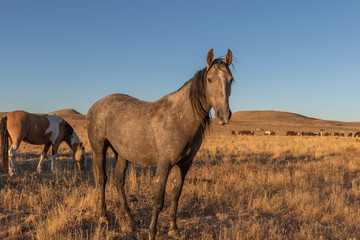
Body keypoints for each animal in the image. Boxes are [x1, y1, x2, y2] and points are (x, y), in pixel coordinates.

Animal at [86, 48, 233, 238]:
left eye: (231, 80)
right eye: (210, 79)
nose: (224, 115)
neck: (181, 118)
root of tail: (95, 105)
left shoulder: (185, 164)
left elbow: (176, 195)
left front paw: (173, 228)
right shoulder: (164, 164)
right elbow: (158, 200)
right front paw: (152, 232)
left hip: (122, 154)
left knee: (118, 181)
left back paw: (131, 221)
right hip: (99, 148)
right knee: (102, 179)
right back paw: (103, 216)